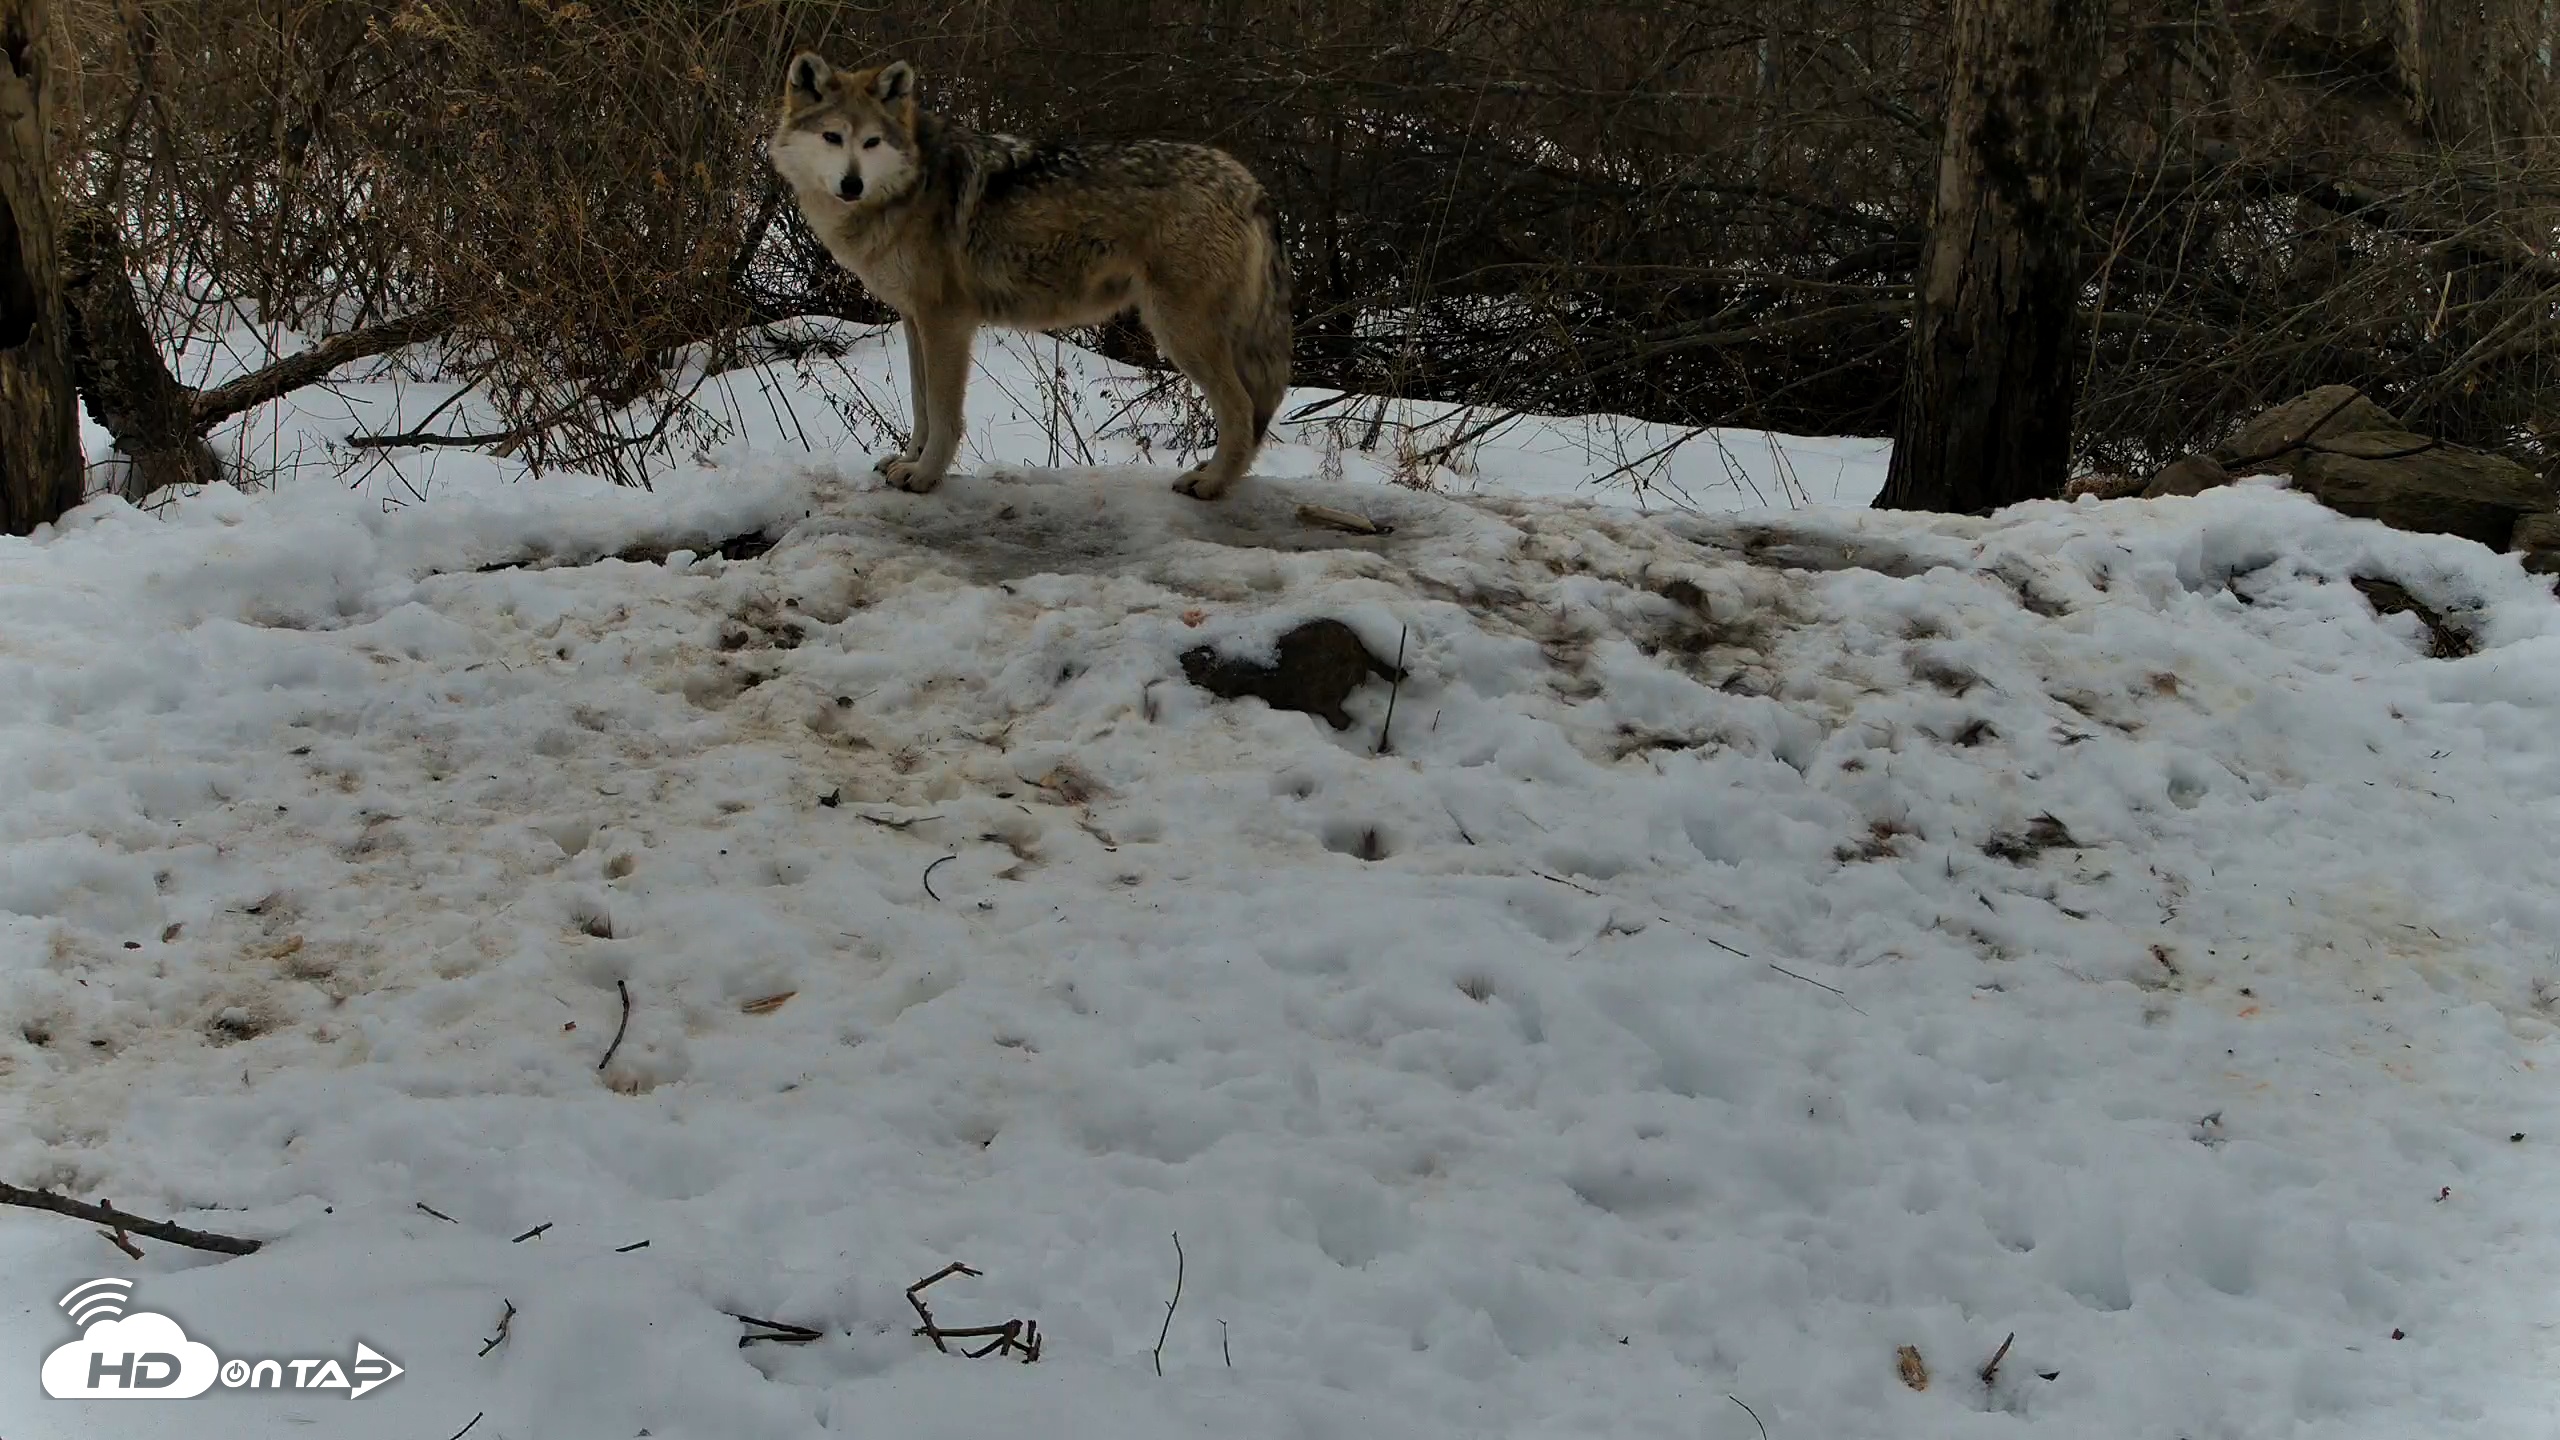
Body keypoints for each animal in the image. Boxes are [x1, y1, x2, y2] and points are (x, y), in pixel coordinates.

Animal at [767, 52, 1293, 501]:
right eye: (833, 138)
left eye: (871, 142)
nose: (851, 184)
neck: (909, 189)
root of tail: (1251, 185)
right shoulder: (915, 321)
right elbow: (920, 406)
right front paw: (908, 459)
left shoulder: (947, 323)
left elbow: (942, 413)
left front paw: (925, 475)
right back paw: (1214, 474)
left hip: (1178, 332)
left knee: (1241, 410)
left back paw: (1212, 484)